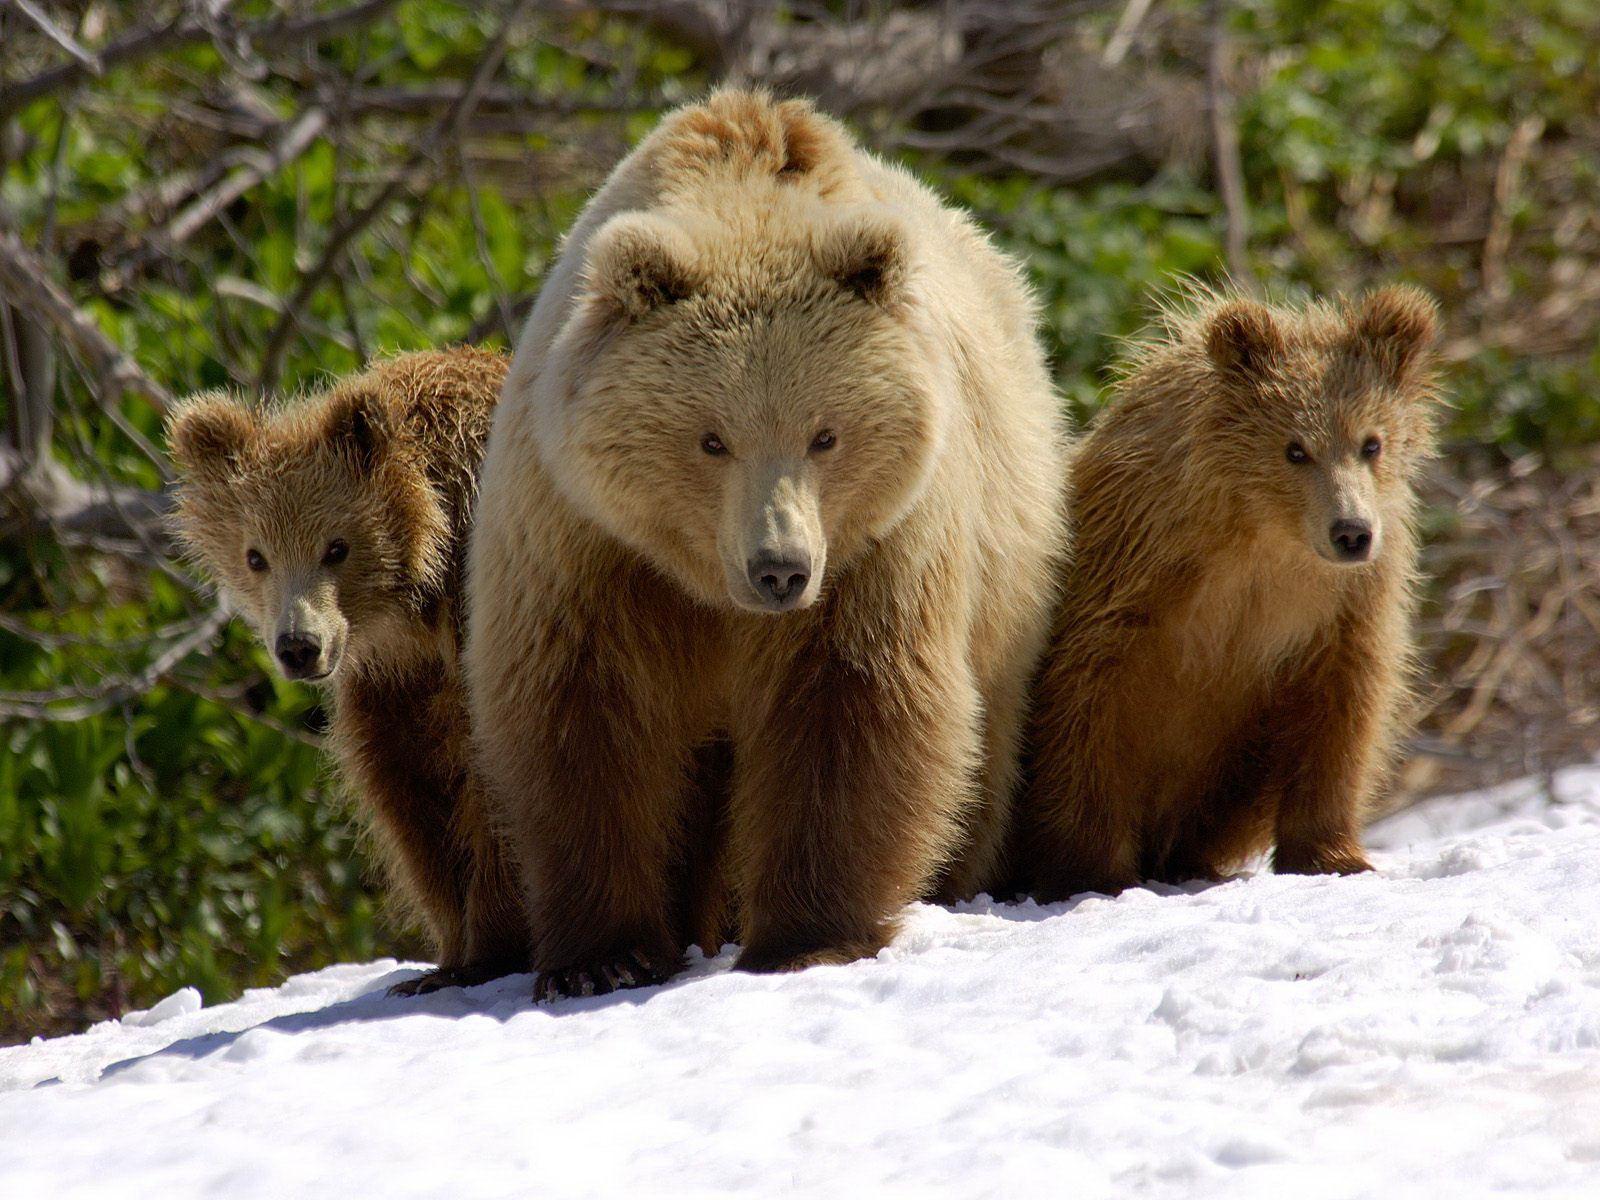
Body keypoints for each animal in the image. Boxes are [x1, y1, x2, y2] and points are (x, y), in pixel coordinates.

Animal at [167, 348, 529, 995]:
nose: (298, 646)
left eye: (336, 547)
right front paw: (445, 957)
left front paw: (490, 951)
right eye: (256, 556)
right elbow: (408, 792)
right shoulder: (394, 683)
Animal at [465, 88, 1069, 1000]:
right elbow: (584, 717)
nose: (779, 568)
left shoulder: (877, 547)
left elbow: (851, 706)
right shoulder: (586, 542)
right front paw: (603, 957)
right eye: (712, 438)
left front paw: (806, 937)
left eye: (826, 434)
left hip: (1008, 569)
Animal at [1014, 285, 1441, 900]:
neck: (1263, 537)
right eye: (1295, 449)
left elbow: (1342, 713)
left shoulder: (1342, 608)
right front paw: (1091, 871)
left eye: (1371, 443)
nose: (1351, 532)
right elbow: (1086, 708)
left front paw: (1333, 855)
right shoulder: (1133, 578)